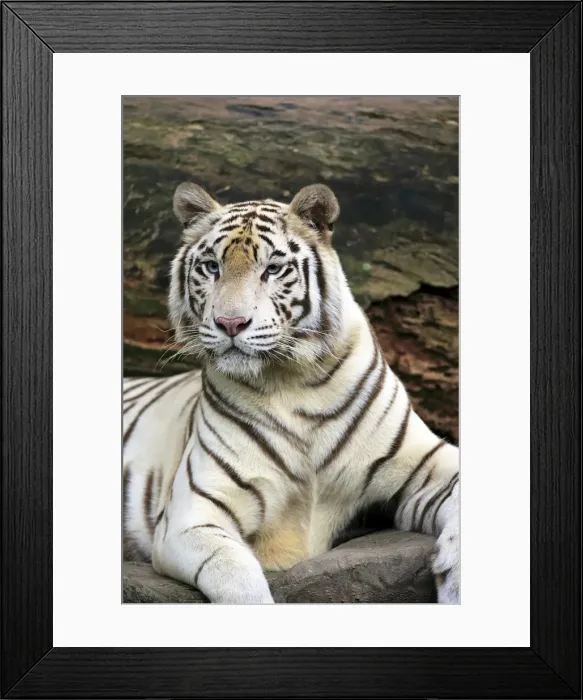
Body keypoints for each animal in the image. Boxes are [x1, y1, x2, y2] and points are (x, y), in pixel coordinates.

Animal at [123, 182, 460, 604]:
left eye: (272, 269)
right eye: (212, 267)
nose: (230, 323)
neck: (292, 382)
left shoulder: (422, 460)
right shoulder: (194, 512)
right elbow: (236, 576)